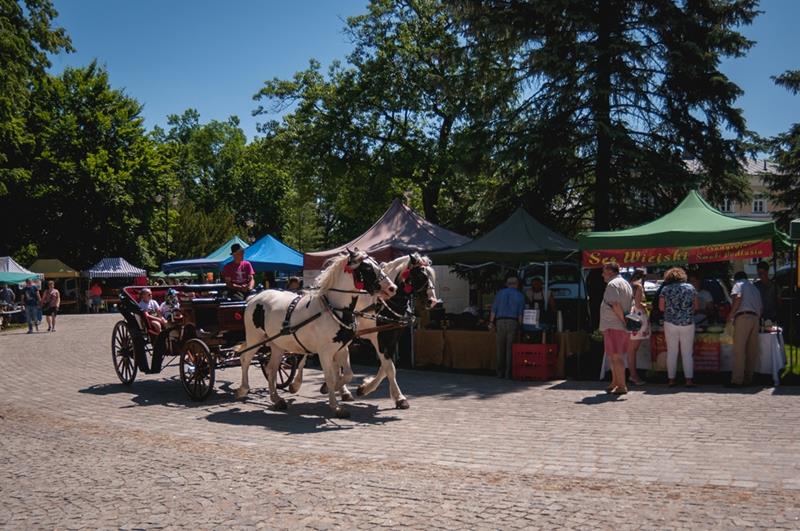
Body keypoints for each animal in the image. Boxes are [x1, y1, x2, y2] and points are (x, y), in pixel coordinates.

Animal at [234, 249, 396, 418]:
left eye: (377, 264)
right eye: (367, 268)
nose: (392, 288)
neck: (334, 308)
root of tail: (255, 297)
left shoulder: (342, 349)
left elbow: (347, 375)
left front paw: (339, 389)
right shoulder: (325, 352)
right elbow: (330, 377)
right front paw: (336, 406)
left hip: (277, 344)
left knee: (271, 369)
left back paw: (276, 399)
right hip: (255, 338)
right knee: (245, 358)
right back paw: (243, 389)